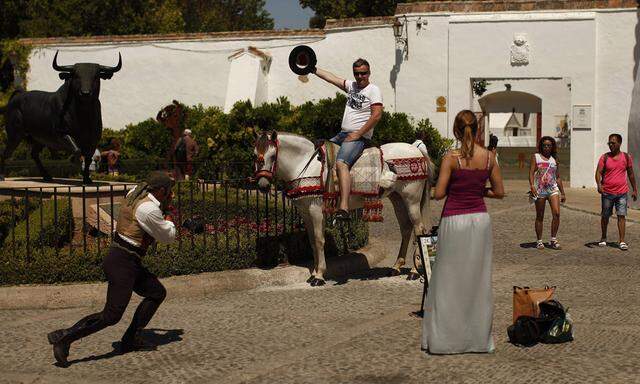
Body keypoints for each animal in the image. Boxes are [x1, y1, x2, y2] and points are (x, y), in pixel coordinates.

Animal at [252, 132, 432, 284]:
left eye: (272, 156)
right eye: (254, 155)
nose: (262, 185)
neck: (306, 166)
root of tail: (415, 148)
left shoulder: (316, 210)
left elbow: (319, 240)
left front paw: (319, 276)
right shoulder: (305, 212)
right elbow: (312, 242)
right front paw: (313, 273)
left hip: (412, 200)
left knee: (419, 230)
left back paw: (414, 272)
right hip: (398, 200)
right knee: (406, 229)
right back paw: (396, 267)